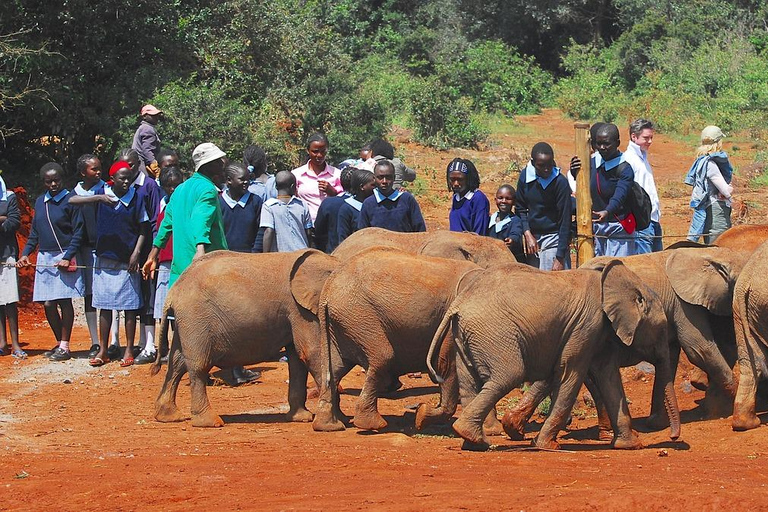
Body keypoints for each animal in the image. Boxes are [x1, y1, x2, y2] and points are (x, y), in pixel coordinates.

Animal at [152, 249, 338, 428]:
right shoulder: (300, 310)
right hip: (195, 319)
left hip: (187, 323)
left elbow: (298, 361)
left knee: (177, 364)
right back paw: (210, 422)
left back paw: (168, 417)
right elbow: (312, 353)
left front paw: (302, 418)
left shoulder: (295, 312)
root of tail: (173, 292)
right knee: (198, 366)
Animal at [308, 247, 512, 432]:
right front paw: (421, 417)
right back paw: (373, 425)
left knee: (335, 368)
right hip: (359, 316)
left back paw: (328, 426)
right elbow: (447, 365)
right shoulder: (452, 321)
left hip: (342, 321)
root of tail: (328, 289)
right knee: (382, 358)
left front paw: (492, 430)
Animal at [426, 262, 680, 450]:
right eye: (662, 329)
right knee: (508, 376)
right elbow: (570, 374)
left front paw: (630, 445)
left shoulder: (600, 332)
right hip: (493, 333)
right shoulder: (586, 326)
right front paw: (547, 446)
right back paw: (474, 438)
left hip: (464, 336)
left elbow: (608, 377)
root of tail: (460, 302)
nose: (674, 437)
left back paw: (472, 442)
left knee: (470, 384)